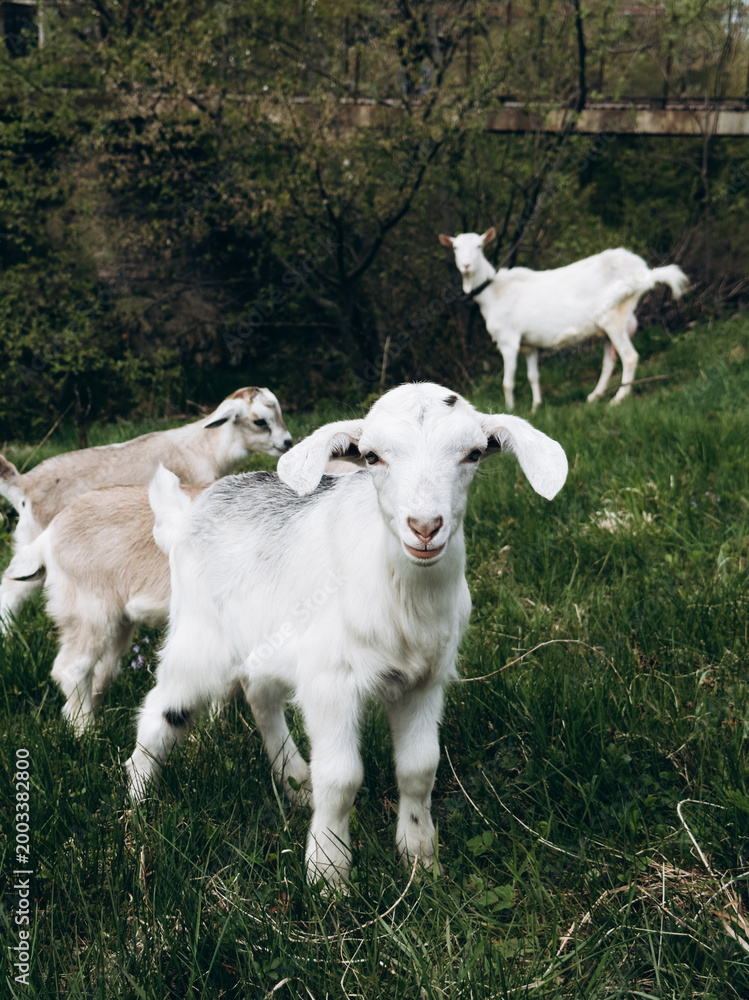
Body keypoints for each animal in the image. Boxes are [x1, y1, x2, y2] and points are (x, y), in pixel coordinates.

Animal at [125, 382, 568, 885]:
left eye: (473, 454)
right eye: (371, 456)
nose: (425, 528)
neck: (402, 595)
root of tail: (186, 513)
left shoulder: (425, 680)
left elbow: (420, 768)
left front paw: (419, 858)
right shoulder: (329, 682)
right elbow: (340, 778)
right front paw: (328, 871)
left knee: (260, 695)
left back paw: (295, 783)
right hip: (200, 636)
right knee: (164, 710)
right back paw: (137, 811)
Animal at [439, 229, 689, 411]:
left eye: (479, 246)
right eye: (455, 247)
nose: (466, 266)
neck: (493, 292)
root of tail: (647, 273)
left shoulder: (508, 340)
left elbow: (506, 382)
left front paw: (510, 411)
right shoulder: (529, 344)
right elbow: (533, 376)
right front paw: (536, 407)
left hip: (615, 316)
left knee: (629, 357)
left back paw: (618, 398)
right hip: (607, 327)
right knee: (609, 361)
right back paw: (594, 396)